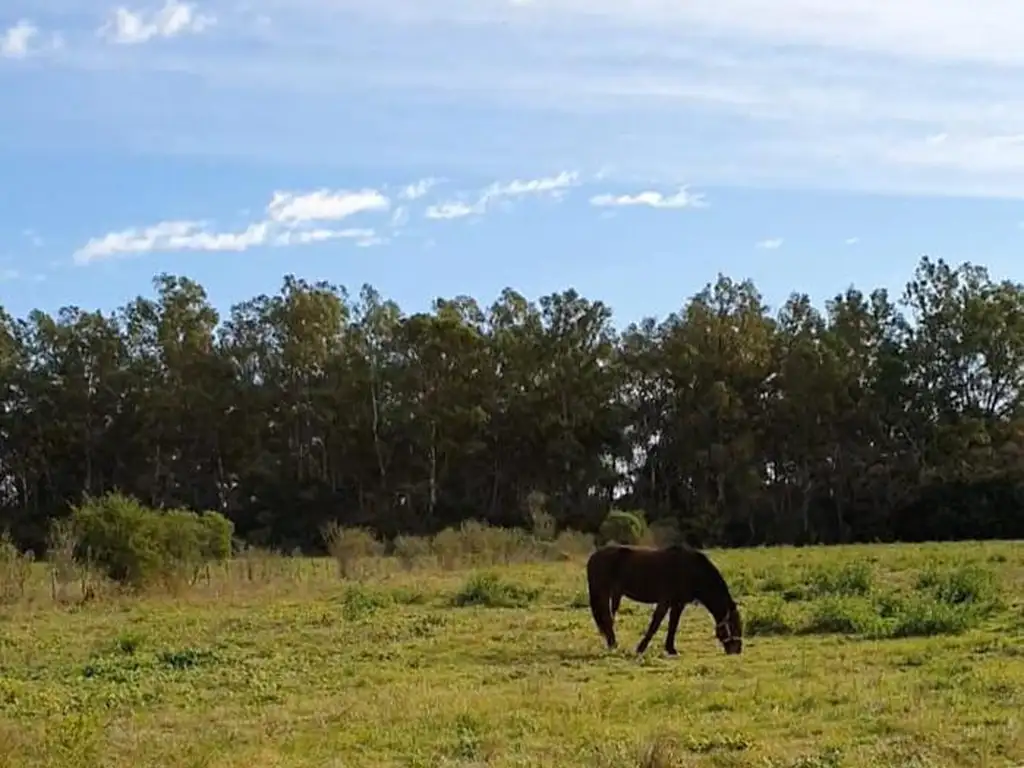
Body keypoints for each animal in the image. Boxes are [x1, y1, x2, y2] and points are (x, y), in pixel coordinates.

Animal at [585, 544, 745, 659]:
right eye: (734, 625)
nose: (737, 650)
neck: (691, 571)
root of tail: (593, 557)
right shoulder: (665, 602)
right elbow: (655, 625)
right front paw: (641, 648)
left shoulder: (678, 604)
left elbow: (673, 625)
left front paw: (671, 649)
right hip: (603, 593)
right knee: (607, 618)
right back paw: (613, 644)